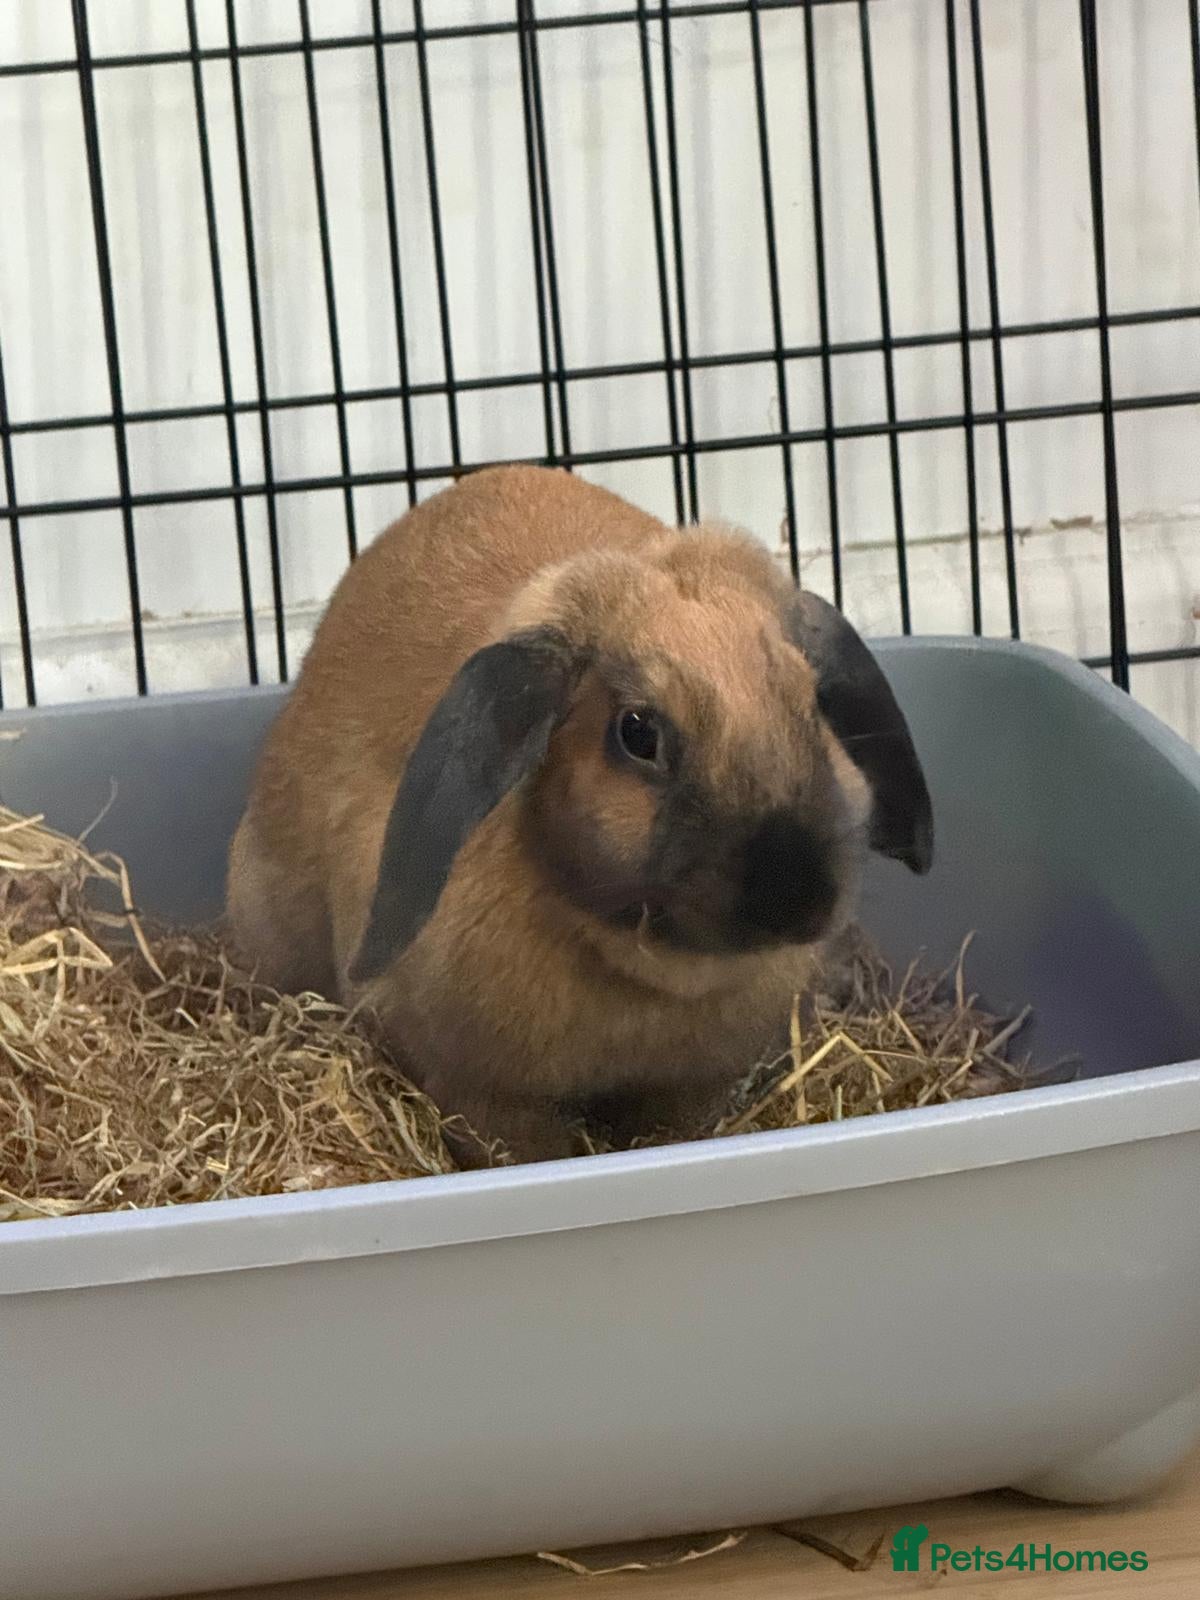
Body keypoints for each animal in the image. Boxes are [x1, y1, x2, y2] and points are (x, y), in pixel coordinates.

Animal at [226, 464, 932, 1166]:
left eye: (811, 702)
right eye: (637, 732)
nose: (795, 895)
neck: (646, 973)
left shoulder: (693, 1088)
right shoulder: (482, 1095)